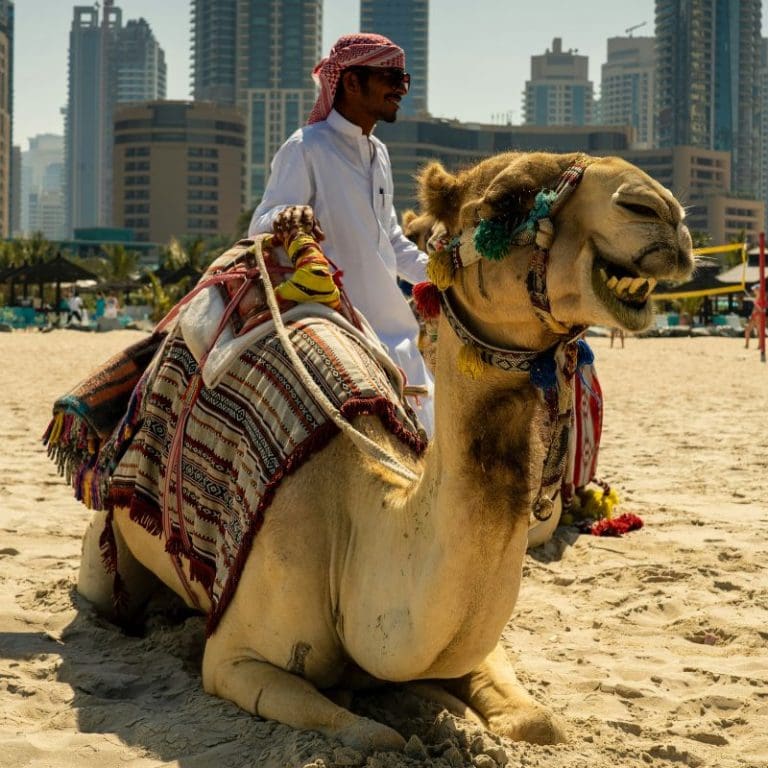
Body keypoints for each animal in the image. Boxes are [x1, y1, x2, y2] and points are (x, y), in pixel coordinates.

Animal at [72, 151, 693, 753]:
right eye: (506, 199)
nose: (661, 209)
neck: (360, 526)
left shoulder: (475, 650)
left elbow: (540, 724)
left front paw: (451, 710)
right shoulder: (234, 658)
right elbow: (373, 734)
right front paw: (409, 719)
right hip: (107, 557)